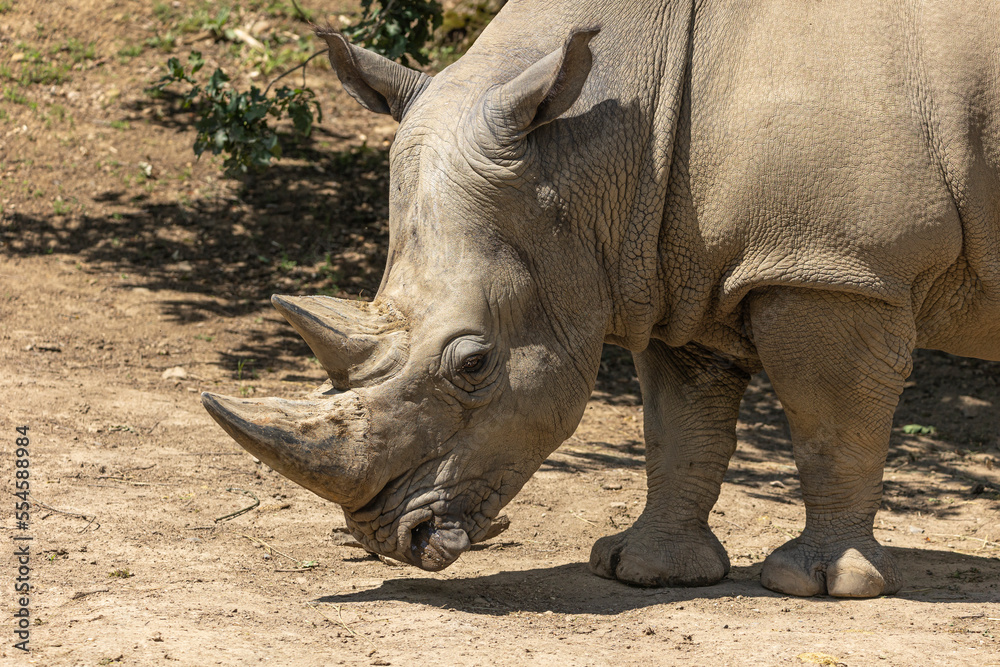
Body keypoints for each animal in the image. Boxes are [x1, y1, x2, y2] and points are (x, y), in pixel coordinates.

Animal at [202, 0, 1000, 598]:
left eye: (474, 364)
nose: (385, 538)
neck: (594, 145)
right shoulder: (679, 265)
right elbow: (680, 428)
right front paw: (642, 570)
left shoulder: (834, 266)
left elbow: (829, 425)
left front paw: (822, 584)